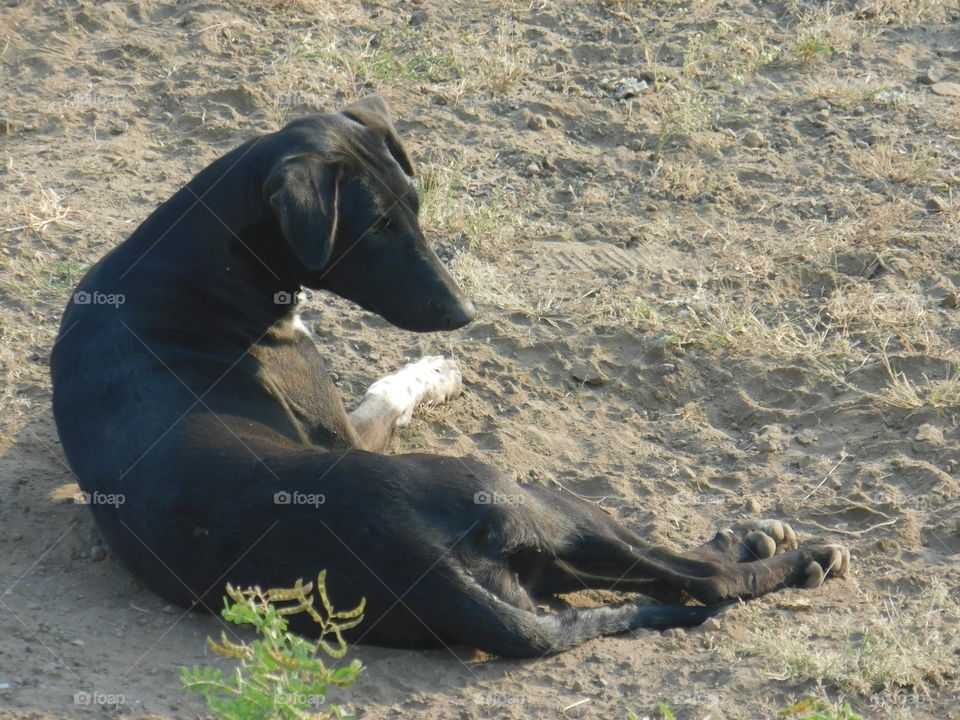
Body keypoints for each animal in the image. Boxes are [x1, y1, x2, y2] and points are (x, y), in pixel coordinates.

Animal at [50, 97, 848, 660]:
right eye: (373, 229)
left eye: (417, 206)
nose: (465, 313)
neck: (186, 264)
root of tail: (423, 569)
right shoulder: (343, 430)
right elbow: (384, 392)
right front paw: (435, 371)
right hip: (529, 496)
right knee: (696, 577)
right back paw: (789, 552)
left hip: (534, 569)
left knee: (647, 576)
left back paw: (752, 541)